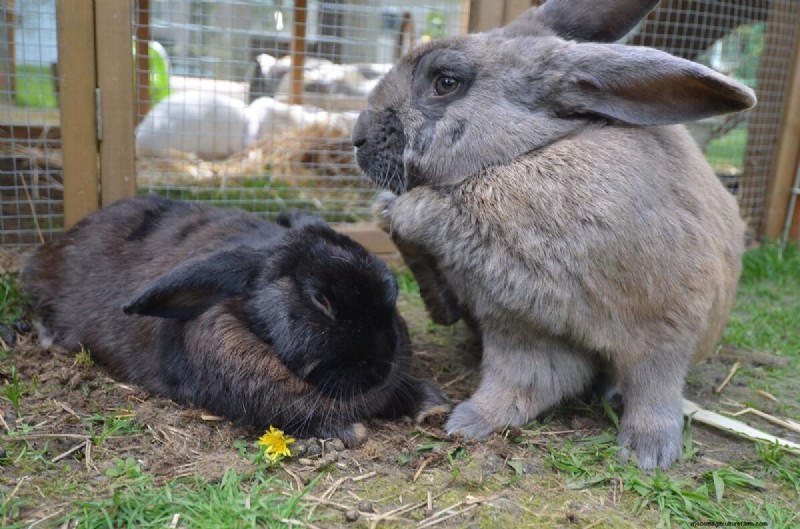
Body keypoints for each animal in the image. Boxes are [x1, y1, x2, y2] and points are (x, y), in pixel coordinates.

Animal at [350, 0, 756, 469]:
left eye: (445, 82)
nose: (357, 137)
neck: (519, 156)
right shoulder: (519, 330)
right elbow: (521, 385)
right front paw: (470, 422)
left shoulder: (665, 328)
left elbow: (654, 389)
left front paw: (648, 454)